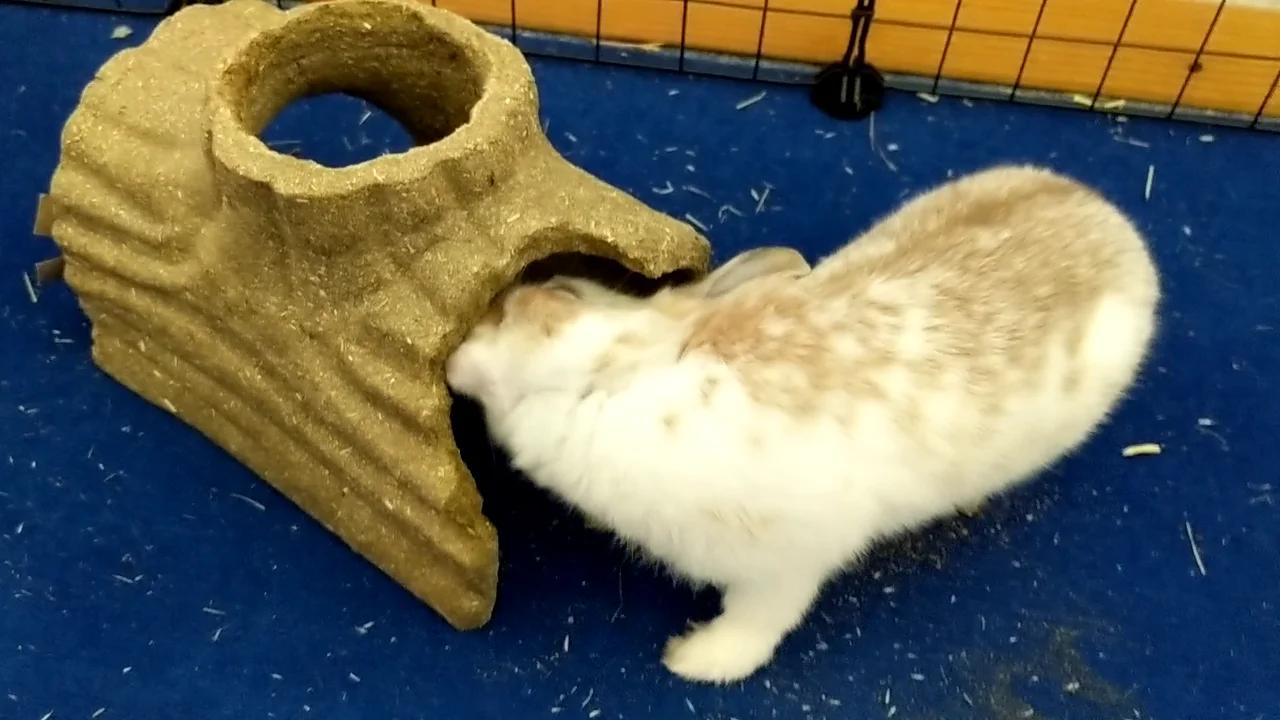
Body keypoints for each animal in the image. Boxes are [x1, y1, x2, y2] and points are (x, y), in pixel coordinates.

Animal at [444, 164, 1160, 684]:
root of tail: (1112, 221)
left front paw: (695, 660)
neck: (629, 386)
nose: (476, 323)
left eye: (559, 295)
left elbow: (757, 623)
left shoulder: (784, 566)